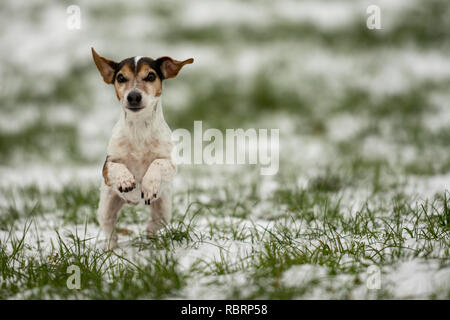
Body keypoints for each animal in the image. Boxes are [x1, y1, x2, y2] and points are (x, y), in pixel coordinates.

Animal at [91, 47, 193, 250]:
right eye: (121, 78)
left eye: (151, 76)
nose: (133, 96)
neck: (139, 129)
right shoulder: (107, 165)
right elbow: (116, 166)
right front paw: (124, 179)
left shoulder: (170, 165)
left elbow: (158, 163)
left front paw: (149, 183)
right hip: (106, 207)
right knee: (110, 230)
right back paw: (110, 249)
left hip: (163, 210)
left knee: (152, 225)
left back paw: (151, 240)